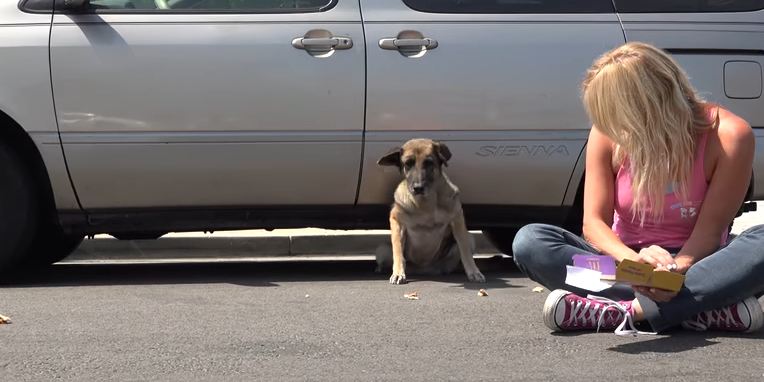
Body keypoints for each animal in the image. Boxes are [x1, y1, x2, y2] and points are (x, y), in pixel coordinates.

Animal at [374, 138, 484, 284]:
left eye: (429, 163)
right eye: (407, 164)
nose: (418, 188)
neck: (425, 205)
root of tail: (424, 270)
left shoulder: (457, 220)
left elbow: (464, 250)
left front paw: (474, 271)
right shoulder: (397, 221)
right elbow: (398, 251)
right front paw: (398, 273)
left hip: (470, 239)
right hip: (382, 250)